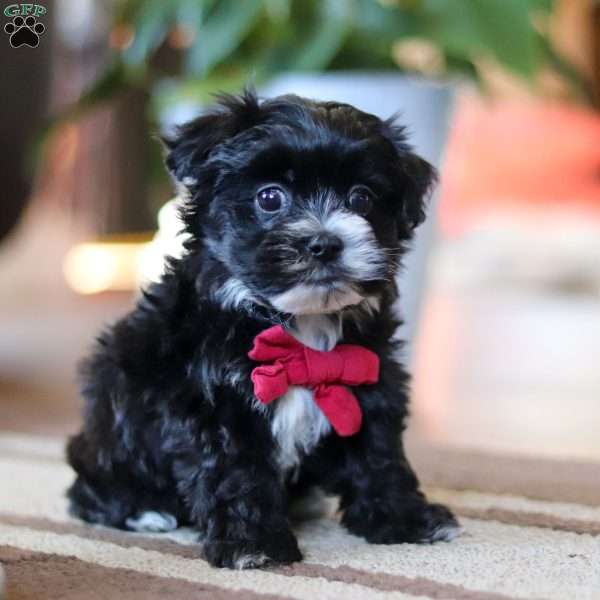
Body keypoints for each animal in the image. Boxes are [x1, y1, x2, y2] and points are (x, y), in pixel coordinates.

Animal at [65, 88, 460, 568]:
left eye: (361, 199)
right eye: (270, 198)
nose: (324, 243)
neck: (298, 329)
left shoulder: (369, 378)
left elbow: (379, 455)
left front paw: (405, 519)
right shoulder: (214, 401)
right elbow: (235, 473)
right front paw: (253, 545)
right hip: (111, 419)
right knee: (91, 488)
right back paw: (144, 510)